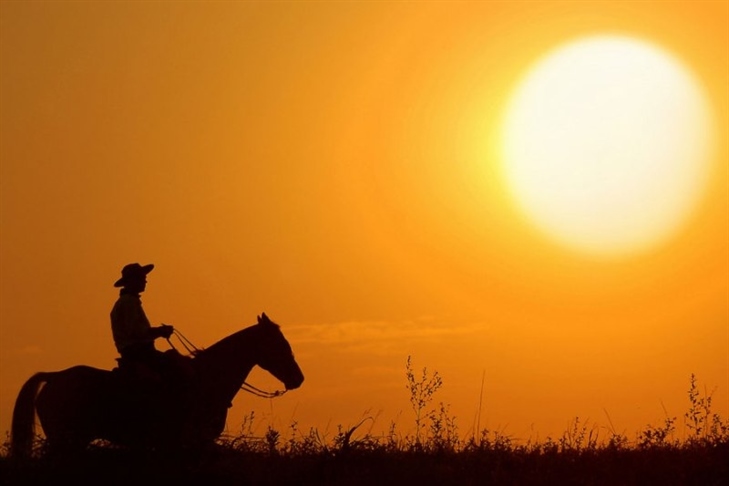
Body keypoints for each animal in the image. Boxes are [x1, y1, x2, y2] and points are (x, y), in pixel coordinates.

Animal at [9, 314, 302, 458]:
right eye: (279, 343)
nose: (298, 378)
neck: (208, 379)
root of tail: (53, 377)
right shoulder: (193, 441)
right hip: (65, 441)